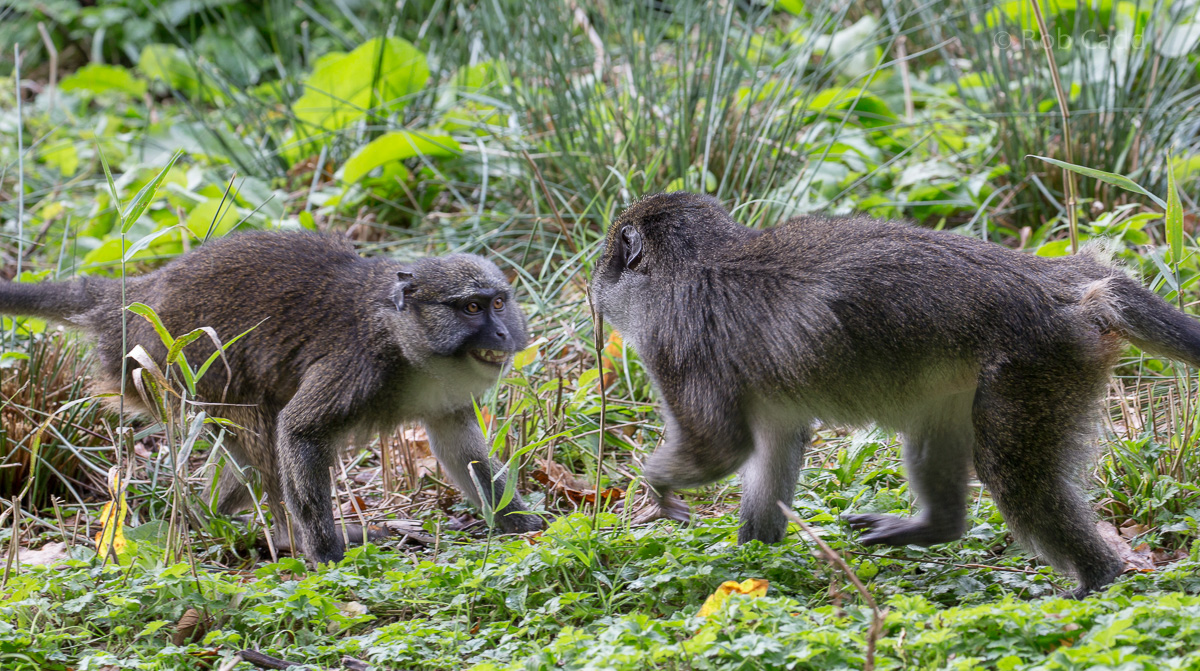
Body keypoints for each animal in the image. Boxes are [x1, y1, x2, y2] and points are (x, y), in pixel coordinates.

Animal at [0, 231, 543, 564]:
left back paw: (213, 515)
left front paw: (521, 523)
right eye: (471, 308)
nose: (501, 333)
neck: (408, 339)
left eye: (498, 303)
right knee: (261, 423)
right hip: (169, 367)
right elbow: (299, 431)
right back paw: (287, 538)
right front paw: (326, 555)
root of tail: (135, 297)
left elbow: (460, 449)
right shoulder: (359, 364)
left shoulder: (446, 397)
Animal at [591, 191, 1200, 597]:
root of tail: (1066, 284)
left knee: (1015, 476)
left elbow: (721, 446)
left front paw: (656, 485)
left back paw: (1097, 579)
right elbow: (775, 441)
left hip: (1040, 363)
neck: (697, 262)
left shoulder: (674, 342)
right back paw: (938, 527)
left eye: (607, 261)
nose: (593, 288)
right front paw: (753, 560)